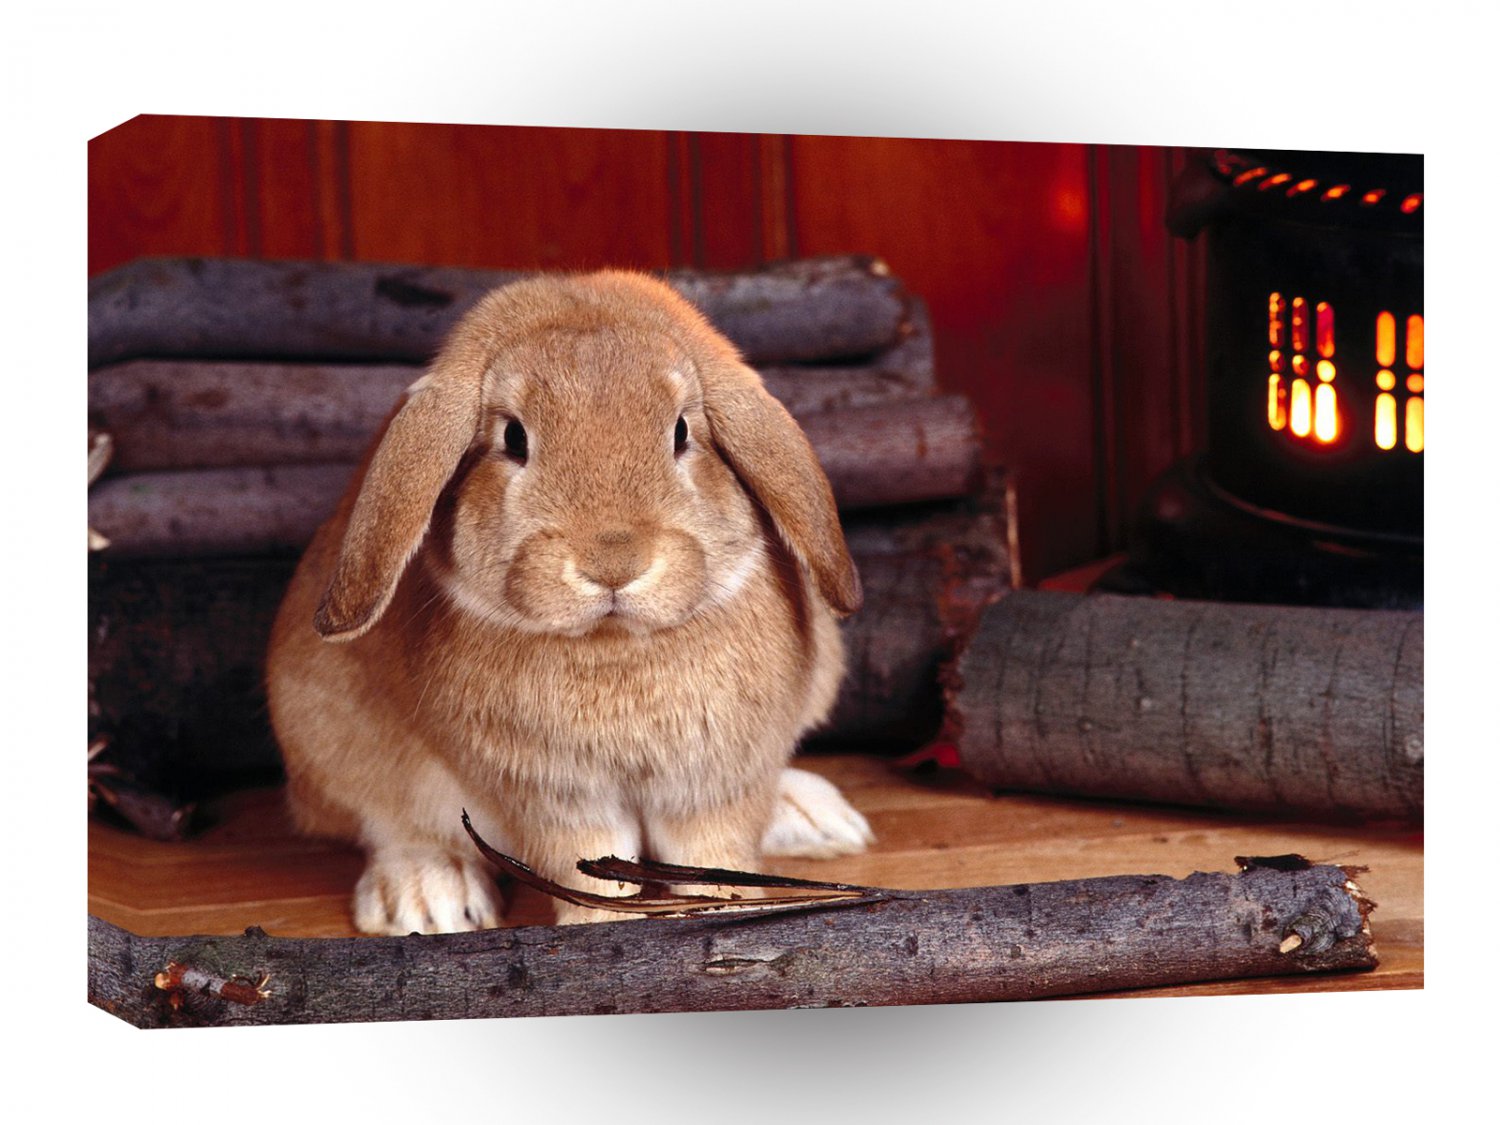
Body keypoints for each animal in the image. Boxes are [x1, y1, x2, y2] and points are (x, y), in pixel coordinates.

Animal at [266, 269, 874, 934]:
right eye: (513, 437)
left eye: (682, 431)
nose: (613, 563)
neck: (616, 646)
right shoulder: (553, 796)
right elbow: (587, 870)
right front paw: (602, 931)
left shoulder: (715, 782)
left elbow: (715, 852)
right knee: (388, 824)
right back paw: (429, 899)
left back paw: (816, 817)